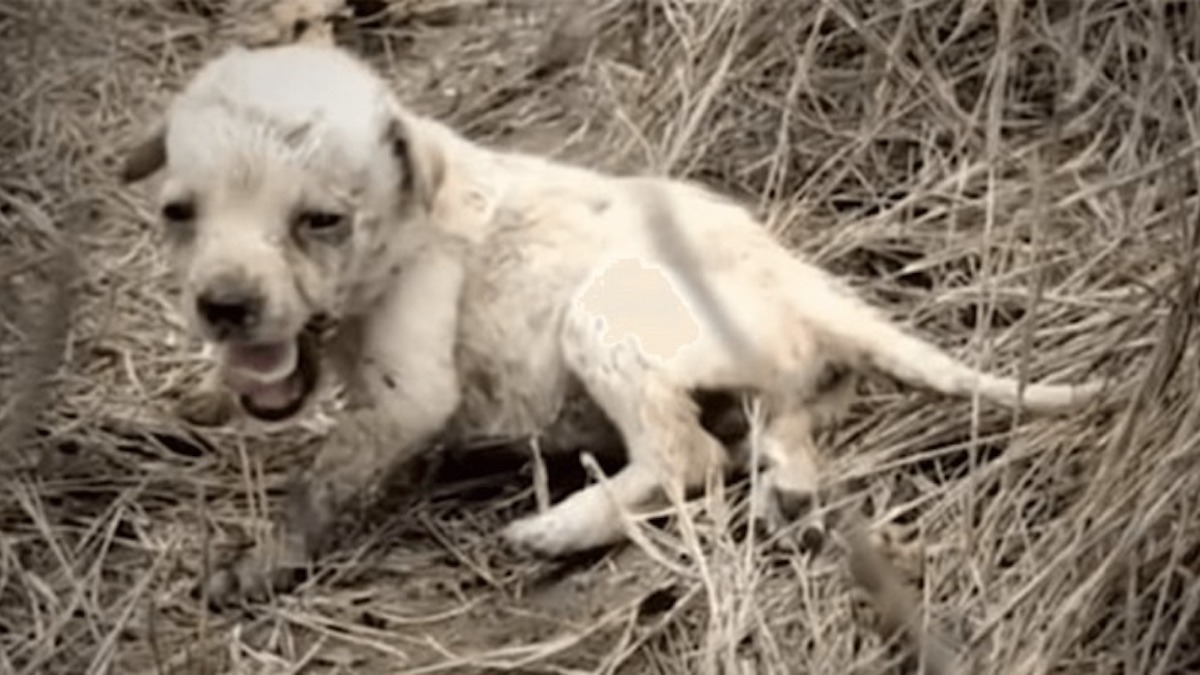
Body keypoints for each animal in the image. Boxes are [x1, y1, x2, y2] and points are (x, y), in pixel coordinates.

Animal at [121, 40, 1104, 598]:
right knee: (775, 431)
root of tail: (803, 281)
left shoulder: (409, 390)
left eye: (321, 220)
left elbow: (319, 482)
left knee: (687, 457)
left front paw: (255, 565)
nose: (224, 306)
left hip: (601, 318)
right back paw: (786, 496)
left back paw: (560, 526)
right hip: (773, 378)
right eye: (178, 213)